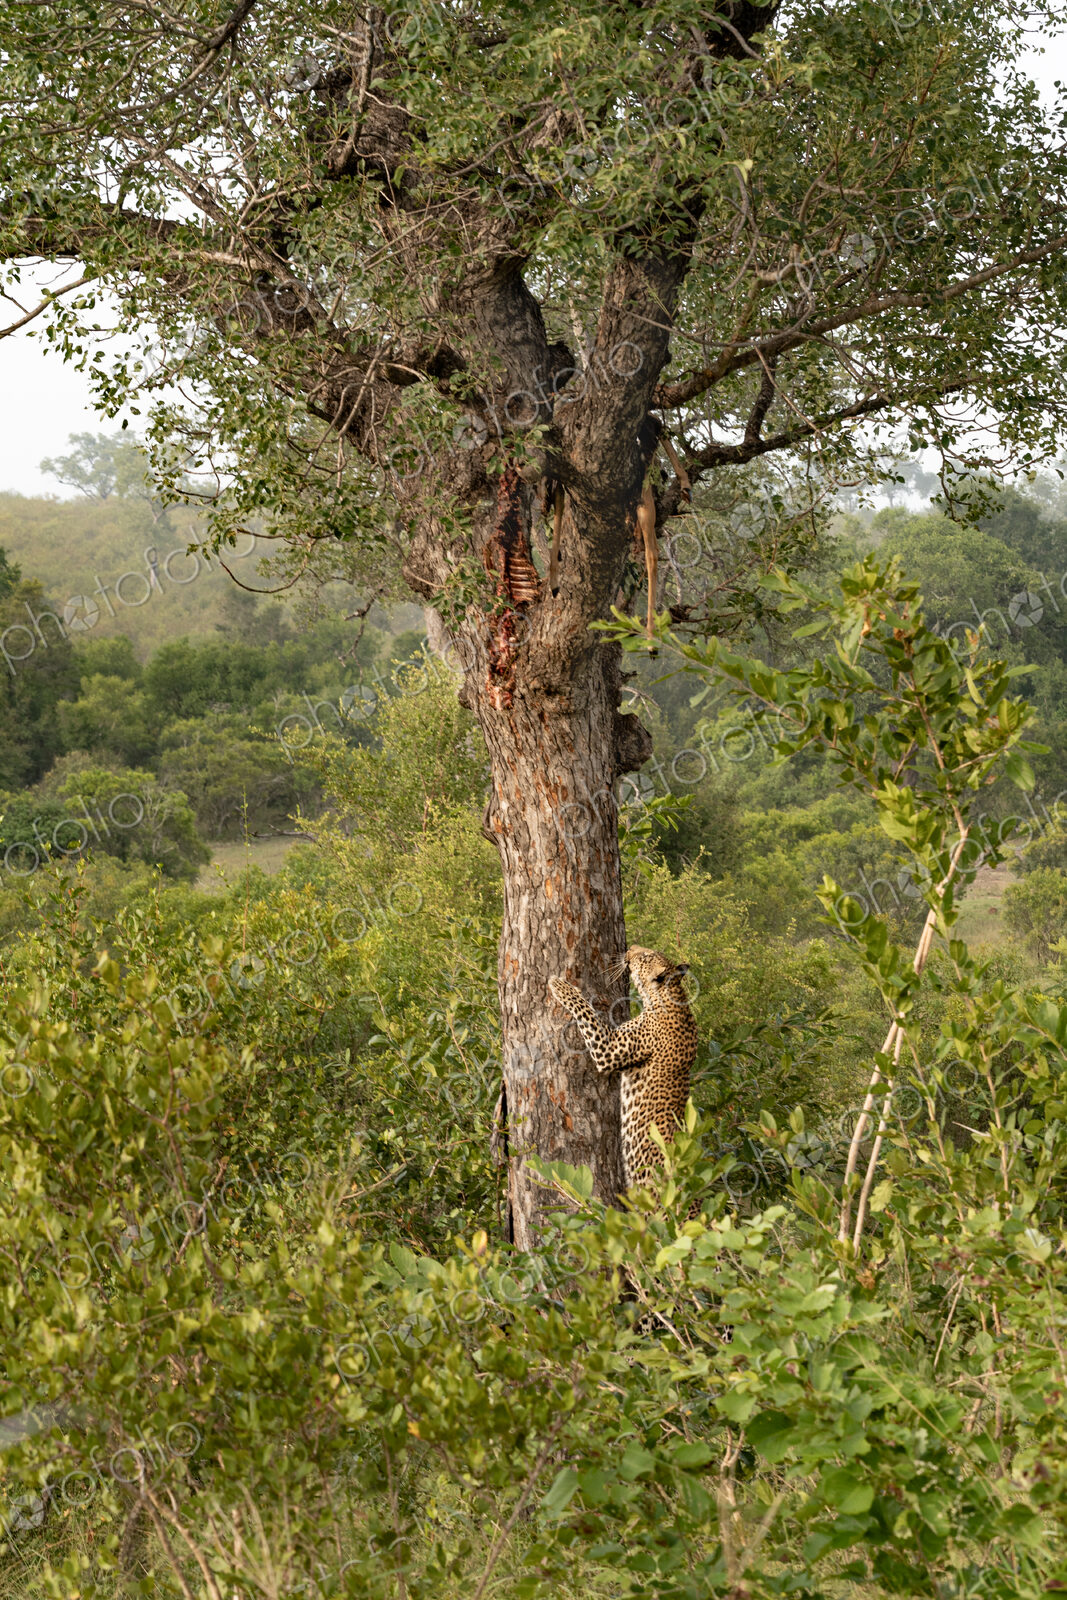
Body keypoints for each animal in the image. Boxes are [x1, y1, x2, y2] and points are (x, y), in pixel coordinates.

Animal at [548, 946, 698, 1190]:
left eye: (645, 957)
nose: (631, 948)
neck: (668, 997)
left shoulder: (607, 1050)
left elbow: (587, 1013)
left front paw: (560, 986)